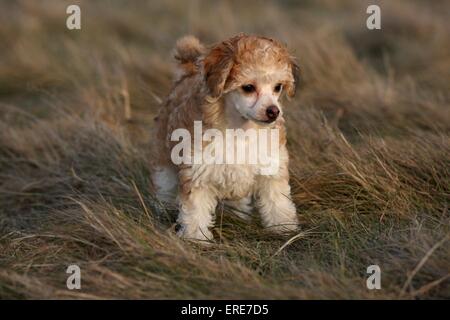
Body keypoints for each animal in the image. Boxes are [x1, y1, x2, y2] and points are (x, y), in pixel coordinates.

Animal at [150, 33, 298, 241]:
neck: (240, 128)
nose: (273, 111)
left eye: (278, 87)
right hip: (164, 158)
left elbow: (278, 201)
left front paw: (284, 229)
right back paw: (164, 208)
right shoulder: (197, 170)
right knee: (165, 184)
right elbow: (195, 209)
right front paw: (195, 238)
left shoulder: (272, 166)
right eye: (248, 87)